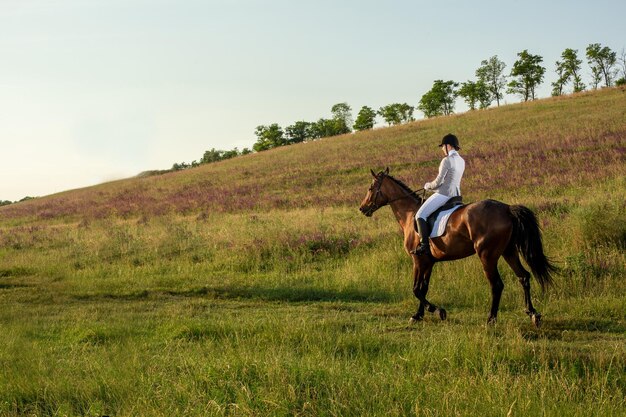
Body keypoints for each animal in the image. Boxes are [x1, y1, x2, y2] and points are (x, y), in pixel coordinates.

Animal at [358, 167, 552, 326]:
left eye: (370, 189)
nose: (362, 208)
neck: (409, 214)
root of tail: (506, 209)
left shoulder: (418, 260)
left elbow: (416, 289)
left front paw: (437, 311)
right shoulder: (428, 262)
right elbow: (423, 288)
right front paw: (419, 315)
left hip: (487, 256)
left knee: (497, 285)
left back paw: (491, 319)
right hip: (509, 251)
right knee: (523, 277)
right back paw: (533, 314)